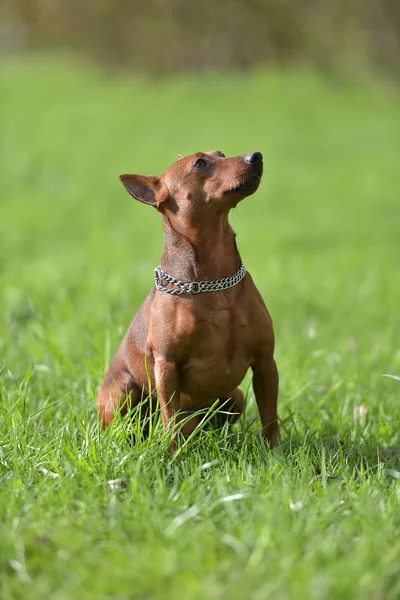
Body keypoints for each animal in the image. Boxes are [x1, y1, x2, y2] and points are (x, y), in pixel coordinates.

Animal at [95, 150, 280, 450]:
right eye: (200, 163)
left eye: (221, 154)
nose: (256, 155)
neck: (214, 279)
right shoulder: (166, 366)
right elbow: (169, 417)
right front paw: (172, 454)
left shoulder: (265, 362)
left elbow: (270, 417)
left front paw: (275, 452)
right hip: (122, 391)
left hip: (235, 397)